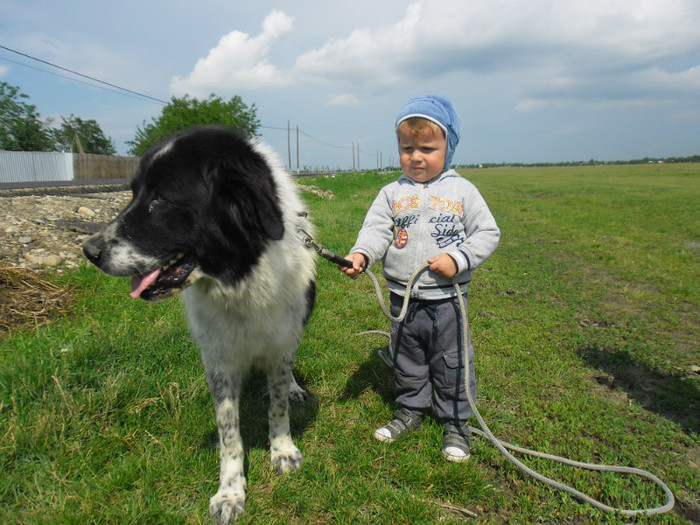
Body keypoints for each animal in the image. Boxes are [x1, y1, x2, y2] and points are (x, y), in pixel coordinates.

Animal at [83, 125, 318, 520]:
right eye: (134, 192)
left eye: (161, 199)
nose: (89, 251)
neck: (240, 279)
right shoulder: (218, 359)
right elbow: (228, 430)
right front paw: (230, 492)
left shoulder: (281, 340)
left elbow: (277, 403)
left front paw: (282, 449)